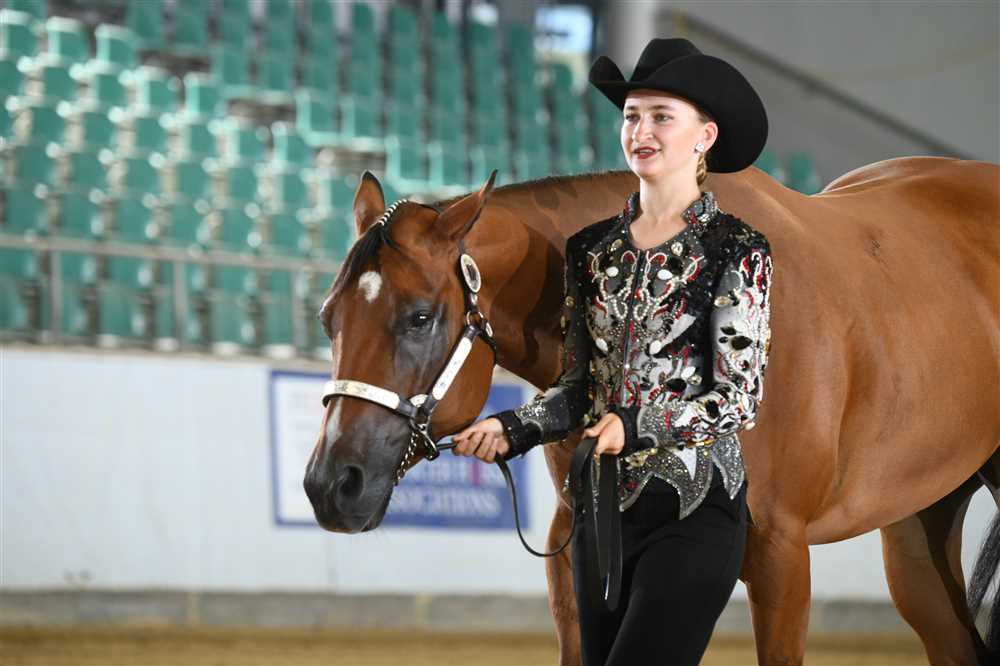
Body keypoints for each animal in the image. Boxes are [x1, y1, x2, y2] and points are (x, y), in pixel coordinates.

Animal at [303, 156, 1000, 665]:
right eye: (327, 317)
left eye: (420, 317)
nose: (331, 485)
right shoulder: (575, 556)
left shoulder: (781, 554)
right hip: (917, 530)